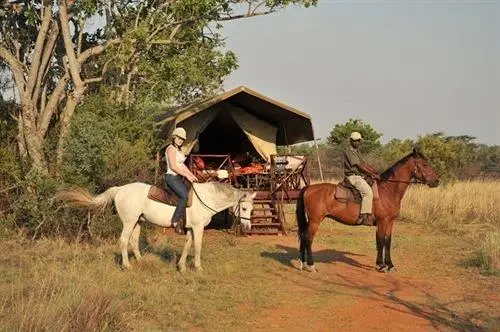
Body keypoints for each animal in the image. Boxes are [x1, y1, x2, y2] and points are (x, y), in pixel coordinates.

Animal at [56, 182, 256, 272]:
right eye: (244, 208)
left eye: (252, 209)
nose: (247, 228)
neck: (206, 199)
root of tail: (120, 189)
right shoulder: (198, 228)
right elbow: (198, 247)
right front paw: (198, 267)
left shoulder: (191, 228)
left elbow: (187, 245)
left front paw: (181, 266)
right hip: (129, 222)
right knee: (124, 241)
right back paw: (127, 265)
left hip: (138, 221)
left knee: (133, 241)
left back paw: (140, 261)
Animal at [294, 148, 440, 272]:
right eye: (424, 165)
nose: (437, 180)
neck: (387, 190)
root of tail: (308, 188)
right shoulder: (382, 222)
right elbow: (381, 241)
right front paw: (381, 266)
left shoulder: (390, 222)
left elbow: (388, 242)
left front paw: (390, 265)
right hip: (315, 221)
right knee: (308, 239)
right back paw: (311, 266)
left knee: (303, 237)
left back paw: (304, 264)